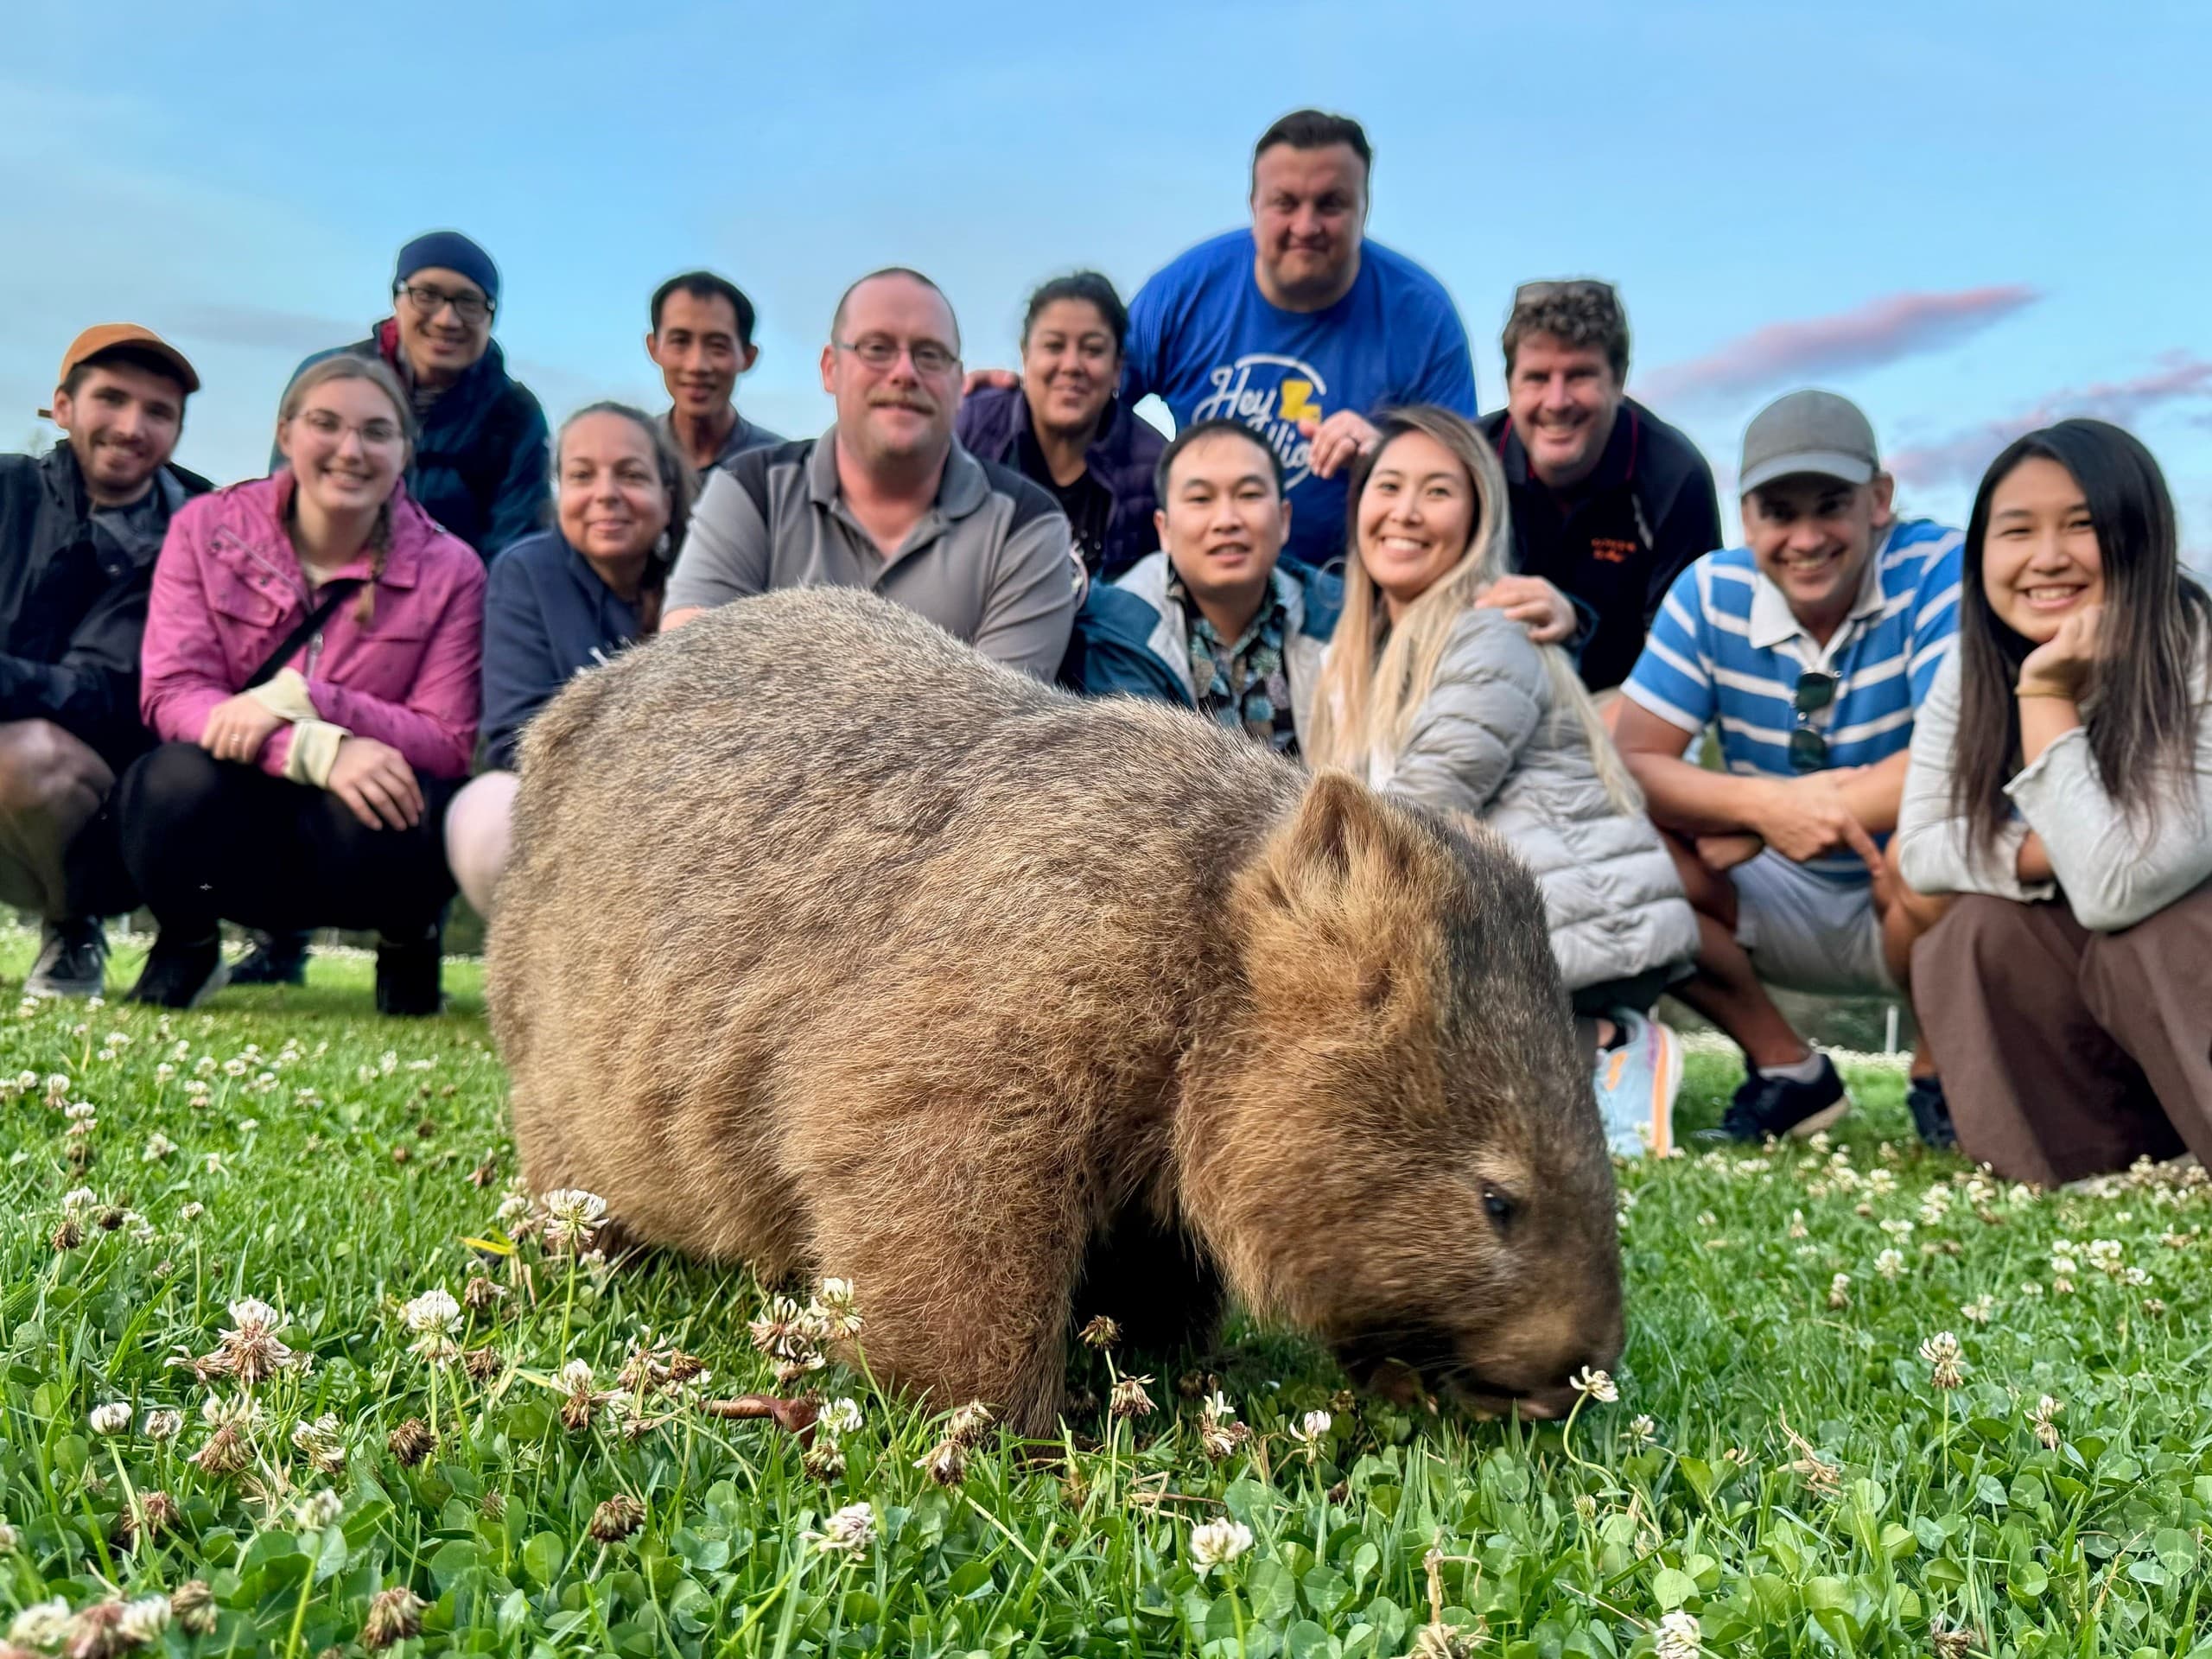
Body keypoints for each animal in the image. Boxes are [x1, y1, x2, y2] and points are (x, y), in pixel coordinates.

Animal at [488, 587, 1623, 1434]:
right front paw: (1011, 1428)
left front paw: (1162, 1350)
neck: (1206, 948)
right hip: (543, 1021)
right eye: (1497, 1202)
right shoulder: (1007, 992)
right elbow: (938, 1193)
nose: (1577, 1373)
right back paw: (595, 1250)